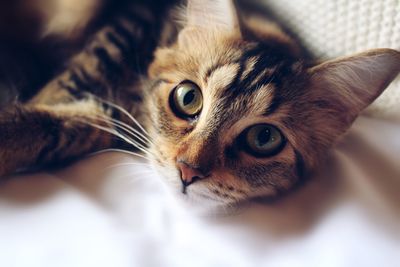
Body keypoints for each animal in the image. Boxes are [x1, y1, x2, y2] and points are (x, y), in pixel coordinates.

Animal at [0, 0, 398, 210]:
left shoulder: (109, 120)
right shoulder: (125, 24)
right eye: (188, 98)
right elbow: (71, 83)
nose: (187, 171)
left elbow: (70, 127)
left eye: (264, 139)